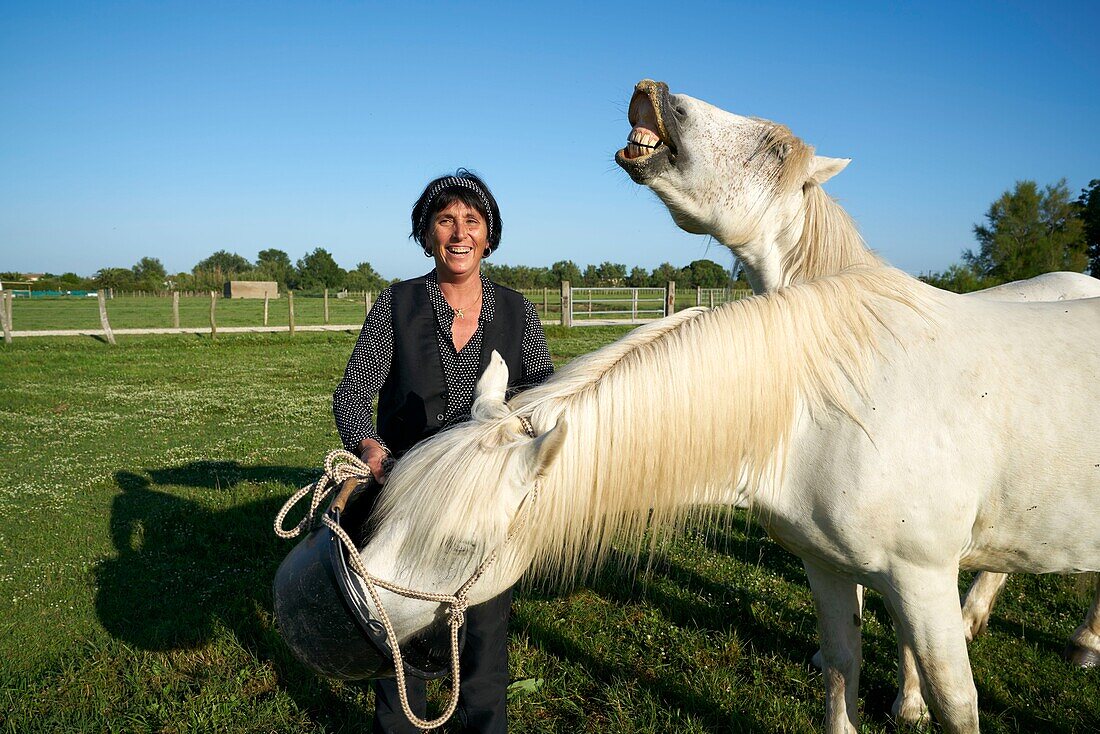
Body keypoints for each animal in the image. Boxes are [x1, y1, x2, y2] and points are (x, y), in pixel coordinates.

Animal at [356, 260, 1095, 730]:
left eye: (461, 548)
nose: (365, 618)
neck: (823, 413)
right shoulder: (829, 568)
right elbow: (841, 669)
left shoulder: (922, 575)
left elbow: (958, 702)